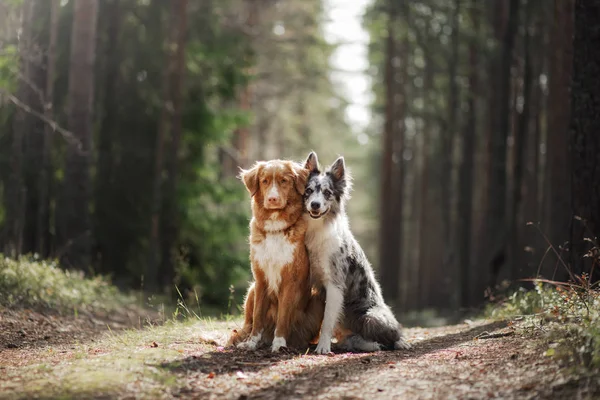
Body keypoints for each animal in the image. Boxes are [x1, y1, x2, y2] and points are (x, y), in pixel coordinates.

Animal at [227, 152, 410, 354]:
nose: (315, 205)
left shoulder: (331, 284)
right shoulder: (261, 279)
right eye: (308, 191)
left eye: (327, 193)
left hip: (370, 316)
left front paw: (321, 347)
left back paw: (400, 342)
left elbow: (324, 320)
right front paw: (252, 343)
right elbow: (258, 315)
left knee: (392, 333)